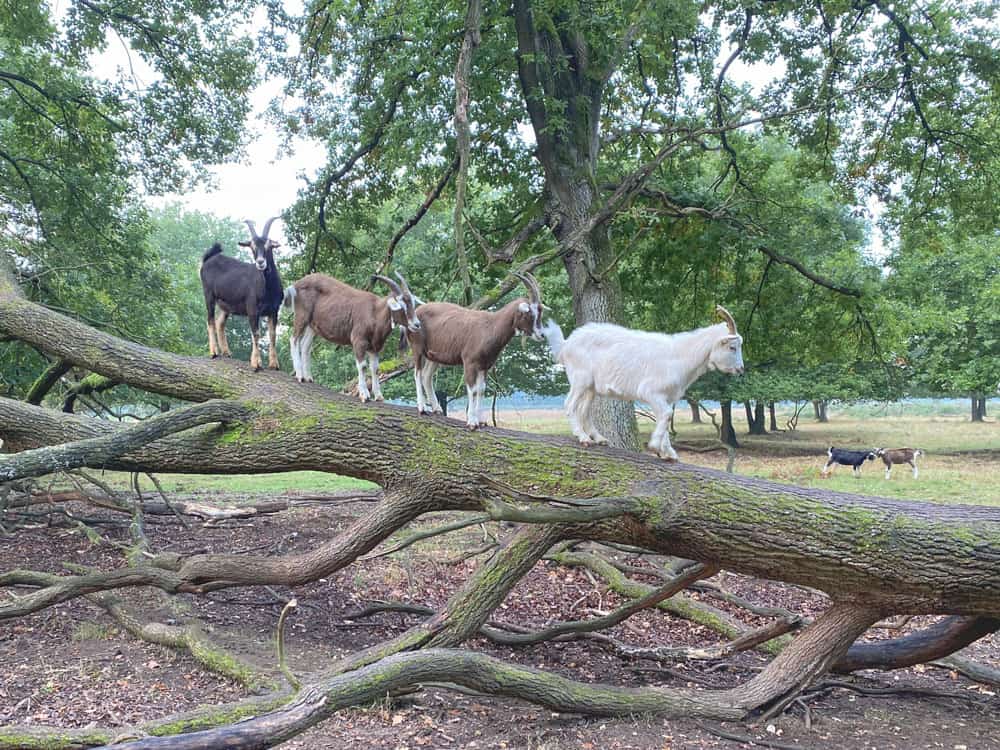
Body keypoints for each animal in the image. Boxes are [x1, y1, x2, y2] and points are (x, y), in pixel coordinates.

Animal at [199, 218, 284, 371]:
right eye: (252, 246)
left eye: (269, 245)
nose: (260, 262)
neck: (268, 289)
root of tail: (208, 259)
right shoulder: (252, 308)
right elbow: (255, 333)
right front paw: (256, 363)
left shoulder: (274, 310)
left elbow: (273, 335)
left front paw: (274, 364)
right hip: (208, 294)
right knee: (210, 319)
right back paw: (214, 352)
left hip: (225, 304)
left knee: (220, 322)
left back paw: (226, 352)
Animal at [283, 273, 421, 401]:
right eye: (402, 305)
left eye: (413, 303)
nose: (417, 324)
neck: (374, 313)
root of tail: (297, 284)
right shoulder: (358, 341)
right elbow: (362, 366)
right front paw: (364, 395)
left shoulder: (374, 347)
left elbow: (375, 369)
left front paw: (379, 396)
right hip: (302, 315)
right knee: (294, 339)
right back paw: (300, 375)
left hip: (312, 325)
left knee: (305, 346)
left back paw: (308, 377)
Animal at [397, 271, 544, 429]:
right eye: (530, 313)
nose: (541, 334)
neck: (490, 326)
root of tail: (414, 314)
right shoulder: (470, 362)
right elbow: (472, 389)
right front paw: (472, 422)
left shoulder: (484, 366)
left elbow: (481, 389)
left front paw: (482, 420)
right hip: (417, 347)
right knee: (417, 373)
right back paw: (422, 408)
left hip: (433, 355)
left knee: (426, 376)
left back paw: (437, 409)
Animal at [541, 307, 745, 461]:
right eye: (732, 347)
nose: (741, 369)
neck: (679, 356)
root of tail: (566, 344)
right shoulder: (650, 392)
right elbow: (666, 415)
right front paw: (656, 447)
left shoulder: (667, 397)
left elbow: (666, 417)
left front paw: (669, 453)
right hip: (580, 379)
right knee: (570, 404)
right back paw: (583, 438)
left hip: (591, 386)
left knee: (584, 410)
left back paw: (599, 439)